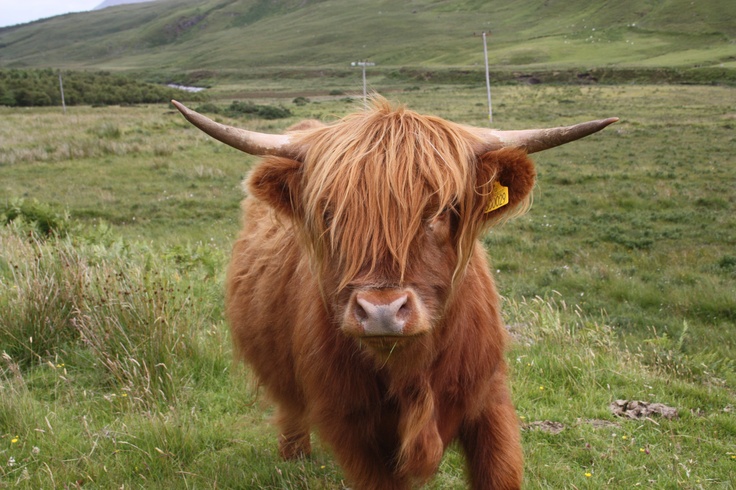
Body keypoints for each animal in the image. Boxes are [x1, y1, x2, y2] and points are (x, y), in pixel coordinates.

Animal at [171, 97, 616, 488]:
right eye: (329, 213)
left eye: (443, 210)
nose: (381, 311)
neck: (412, 372)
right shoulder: (352, 427)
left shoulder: (490, 398)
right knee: (291, 410)